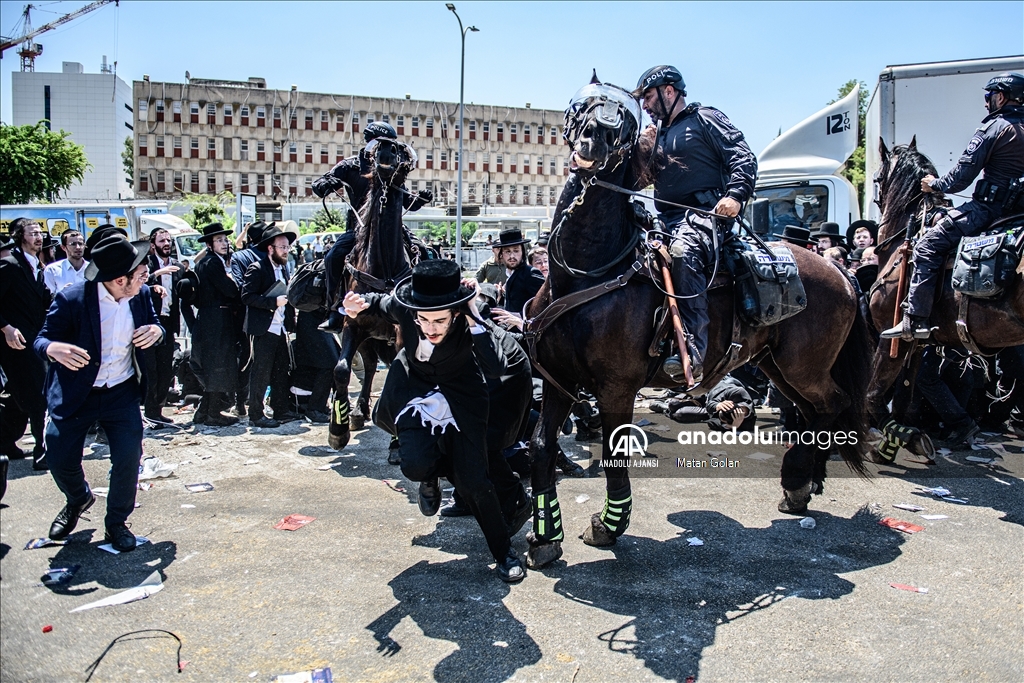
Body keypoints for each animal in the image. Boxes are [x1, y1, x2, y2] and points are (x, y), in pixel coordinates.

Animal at [331, 136, 419, 450]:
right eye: (378, 145)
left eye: (400, 149)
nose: (387, 153)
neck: (383, 268)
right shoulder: (352, 325)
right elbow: (341, 369)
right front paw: (338, 429)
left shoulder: (404, 332)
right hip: (369, 338)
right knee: (369, 366)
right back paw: (357, 413)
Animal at [524, 78, 868, 573]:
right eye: (585, 101)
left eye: (627, 118)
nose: (598, 136)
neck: (587, 273)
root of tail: (838, 270)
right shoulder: (560, 382)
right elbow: (541, 448)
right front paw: (545, 537)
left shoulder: (614, 388)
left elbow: (613, 455)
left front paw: (609, 525)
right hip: (779, 367)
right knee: (813, 412)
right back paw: (804, 483)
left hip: (804, 366)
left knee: (831, 405)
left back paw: (798, 479)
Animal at [864, 137, 1024, 458]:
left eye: (876, 178)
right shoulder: (916, 343)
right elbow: (903, 398)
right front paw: (898, 440)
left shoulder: (891, 337)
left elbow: (874, 396)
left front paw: (897, 437)